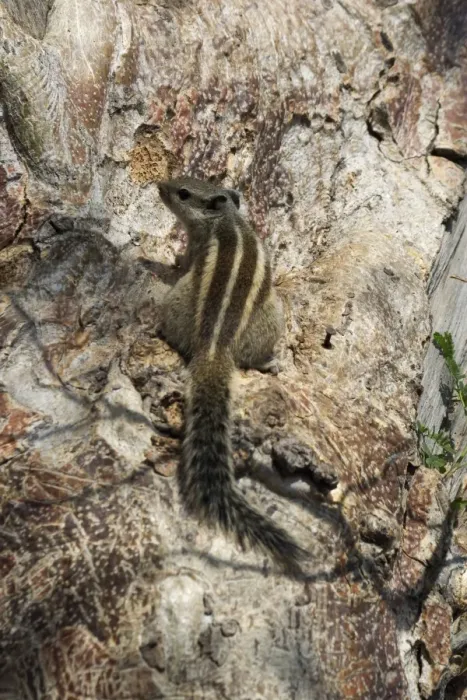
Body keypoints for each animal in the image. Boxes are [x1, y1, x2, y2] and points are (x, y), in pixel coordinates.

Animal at [157, 177, 306, 573]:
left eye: (182, 193)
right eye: (181, 181)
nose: (159, 186)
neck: (226, 220)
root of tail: (214, 348)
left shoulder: (197, 247)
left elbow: (185, 261)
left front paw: (170, 261)